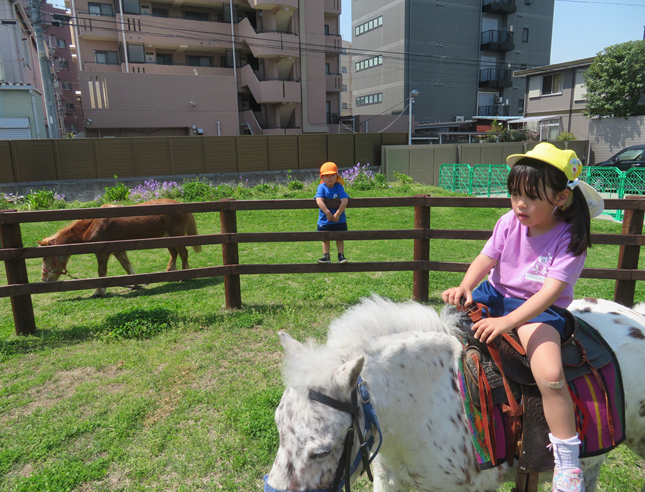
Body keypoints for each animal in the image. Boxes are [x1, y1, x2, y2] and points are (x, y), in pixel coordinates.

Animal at [37, 199, 202, 297]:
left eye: (45, 257)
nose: (44, 279)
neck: (94, 224)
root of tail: (179, 203)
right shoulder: (119, 251)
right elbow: (127, 267)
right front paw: (135, 285)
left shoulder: (102, 253)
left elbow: (101, 272)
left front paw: (99, 292)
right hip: (166, 238)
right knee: (174, 253)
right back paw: (171, 272)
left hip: (177, 236)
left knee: (183, 253)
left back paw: (183, 276)